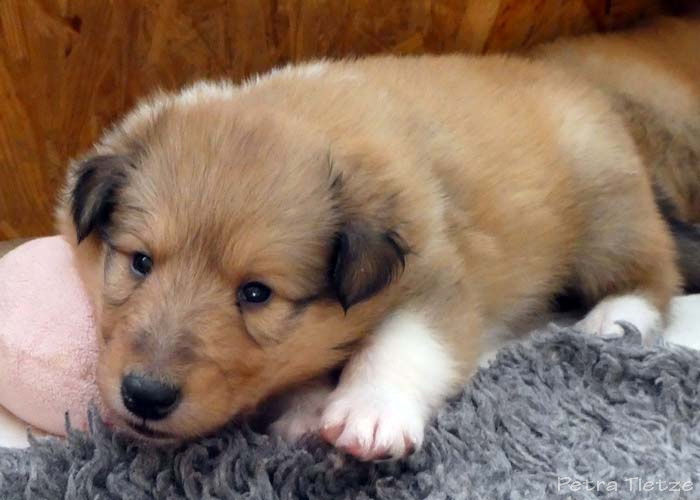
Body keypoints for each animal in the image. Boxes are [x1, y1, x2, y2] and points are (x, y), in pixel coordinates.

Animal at [55, 15, 699, 460]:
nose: (145, 396)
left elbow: (401, 344)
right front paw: (306, 406)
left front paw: (369, 413)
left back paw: (615, 319)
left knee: (655, 274)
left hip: (607, 215)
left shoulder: (438, 276)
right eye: (140, 262)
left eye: (256, 293)